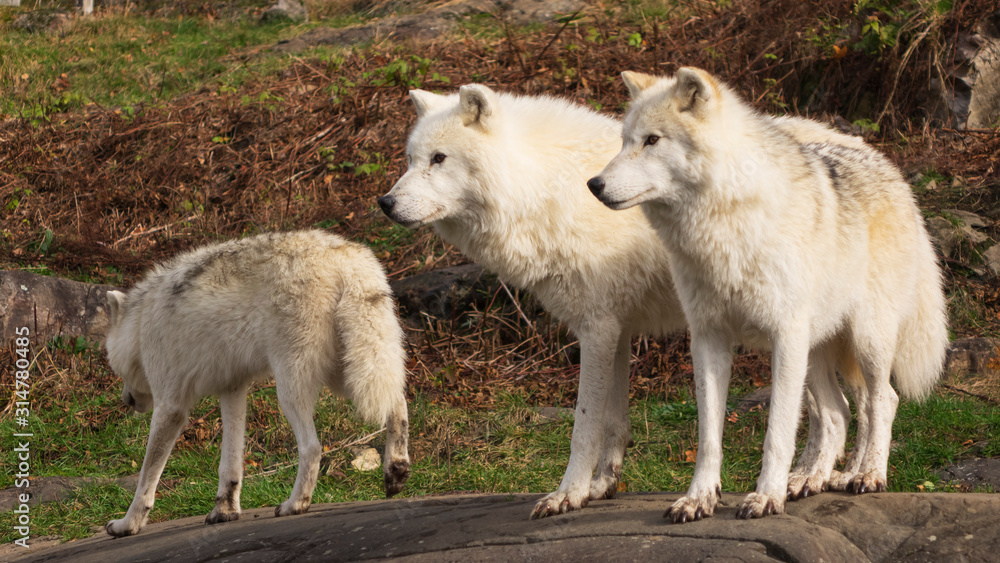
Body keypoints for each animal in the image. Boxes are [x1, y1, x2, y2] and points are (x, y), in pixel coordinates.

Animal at [103, 230, 410, 537]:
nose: (125, 399)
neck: (140, 327)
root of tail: (347, 260)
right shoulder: (232, 390)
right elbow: (229, 466)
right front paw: (225, 511)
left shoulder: (171, 408)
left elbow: (146, 478)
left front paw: (127, 524)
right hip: (354, 372)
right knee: (398, 404)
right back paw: (395, 470)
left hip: (291, 389)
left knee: (312, 447)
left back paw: (295, 504)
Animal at [377, 85, 858, 519]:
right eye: (410, 160)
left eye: (439, 159)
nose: (385, 202)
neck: (543, 189)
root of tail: (856, 143)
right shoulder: (618, 330)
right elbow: (613, 423)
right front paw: (602, 485)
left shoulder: (597, 329)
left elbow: (583, 426)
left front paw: (567, 495)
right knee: (837, 413)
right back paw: (810, 480)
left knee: (848, 408)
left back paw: (844, 478)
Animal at [588, 67, 948, 521]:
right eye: (624, 142)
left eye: (652, 140)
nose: (594, 184)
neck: (723, 226)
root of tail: (892, 170)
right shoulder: (708, 339)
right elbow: (709, 437)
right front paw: (699, 498)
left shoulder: (785, 335)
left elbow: (777, 432)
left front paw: (765, 497)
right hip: (816, 352)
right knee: (839, 412)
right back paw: (813, 480)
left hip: (866, 341)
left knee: (883, 400)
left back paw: (867, 476)